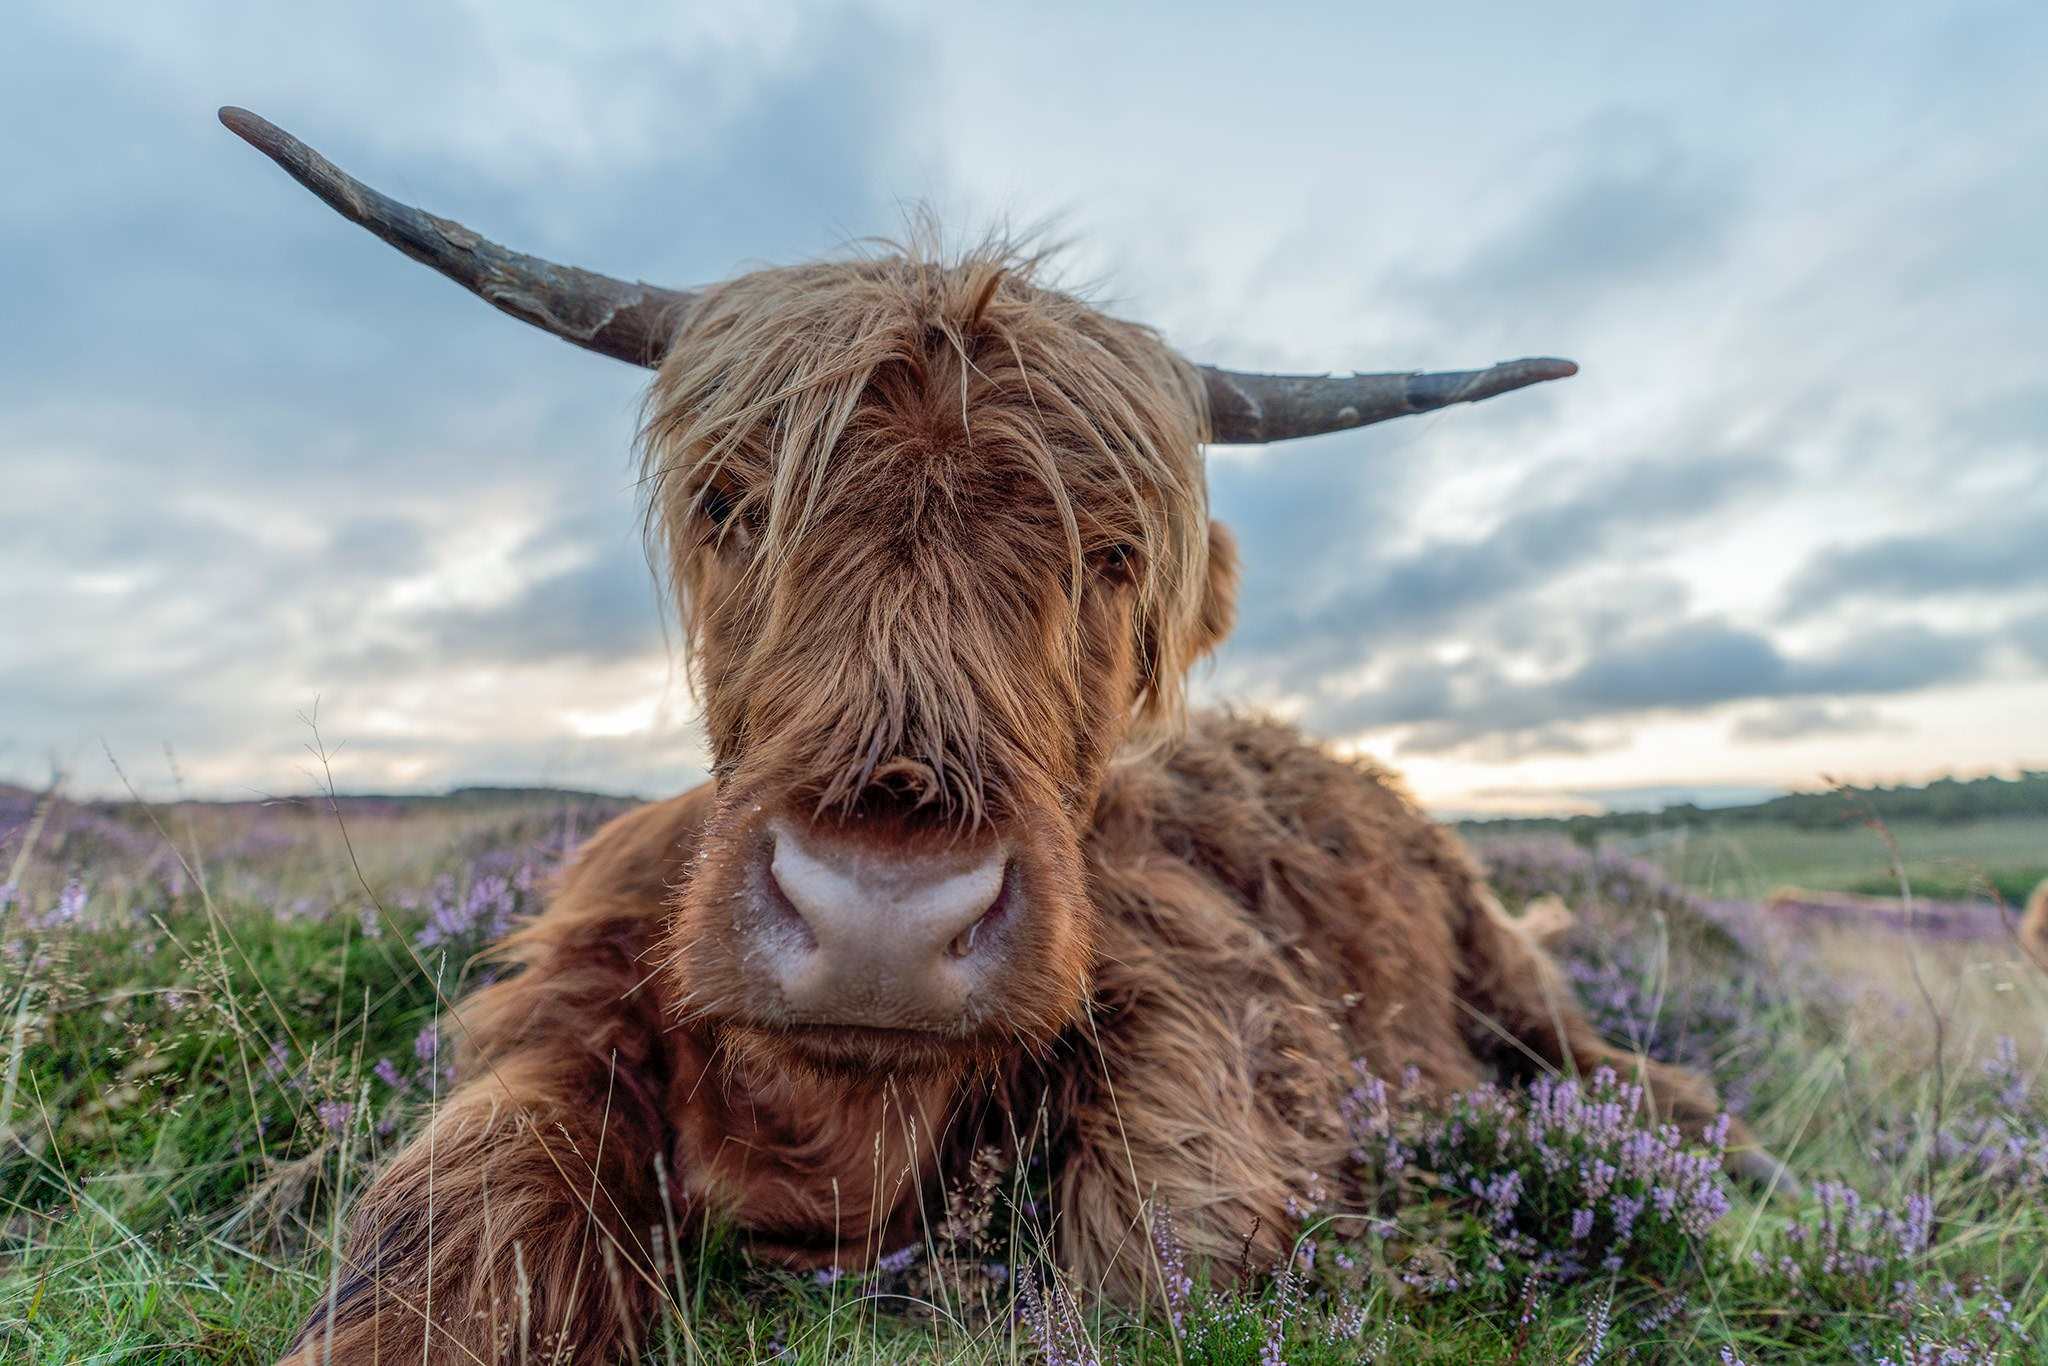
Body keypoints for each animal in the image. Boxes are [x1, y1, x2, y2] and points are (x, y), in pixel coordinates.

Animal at [220, 109, 1777, 1366]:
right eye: (731, 505)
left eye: (1110, 557)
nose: (881, 917)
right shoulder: (564, 998)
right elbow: (466, 1215)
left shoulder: (1214, 1016)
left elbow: (1157, 1239)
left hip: (1504, 965)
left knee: (1626, 1067)